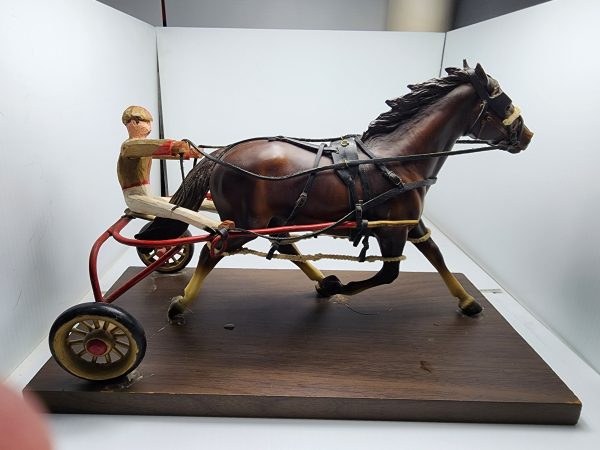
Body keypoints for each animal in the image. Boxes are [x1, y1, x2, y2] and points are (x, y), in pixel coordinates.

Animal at [148, 63, 532, 324]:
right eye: (503, 101)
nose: (527, 135)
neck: (400, 158)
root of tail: (224, 154)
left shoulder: (409, 224)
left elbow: (436, 256)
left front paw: (467, 301)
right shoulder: (392, 230)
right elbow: (389, 274)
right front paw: (344, 289)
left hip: (274, 219)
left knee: (285, 246)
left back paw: (323, 282)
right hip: (245, 224)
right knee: (212, 250)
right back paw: (180, 303)